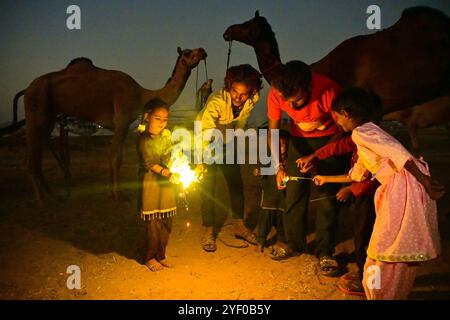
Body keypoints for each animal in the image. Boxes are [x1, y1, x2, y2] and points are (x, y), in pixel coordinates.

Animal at [11, 46, 207, 201]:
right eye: (187, 53)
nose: (202, 51)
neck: (142, 95)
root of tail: (27, 89)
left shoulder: (124, 126)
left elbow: (116, 157)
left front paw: (112, 192)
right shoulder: (121, 122)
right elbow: (115, 159)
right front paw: (117, 194)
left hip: (47, 116)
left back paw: (49, 192)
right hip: (37, 107)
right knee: (32, 154)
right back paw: (43, 198)